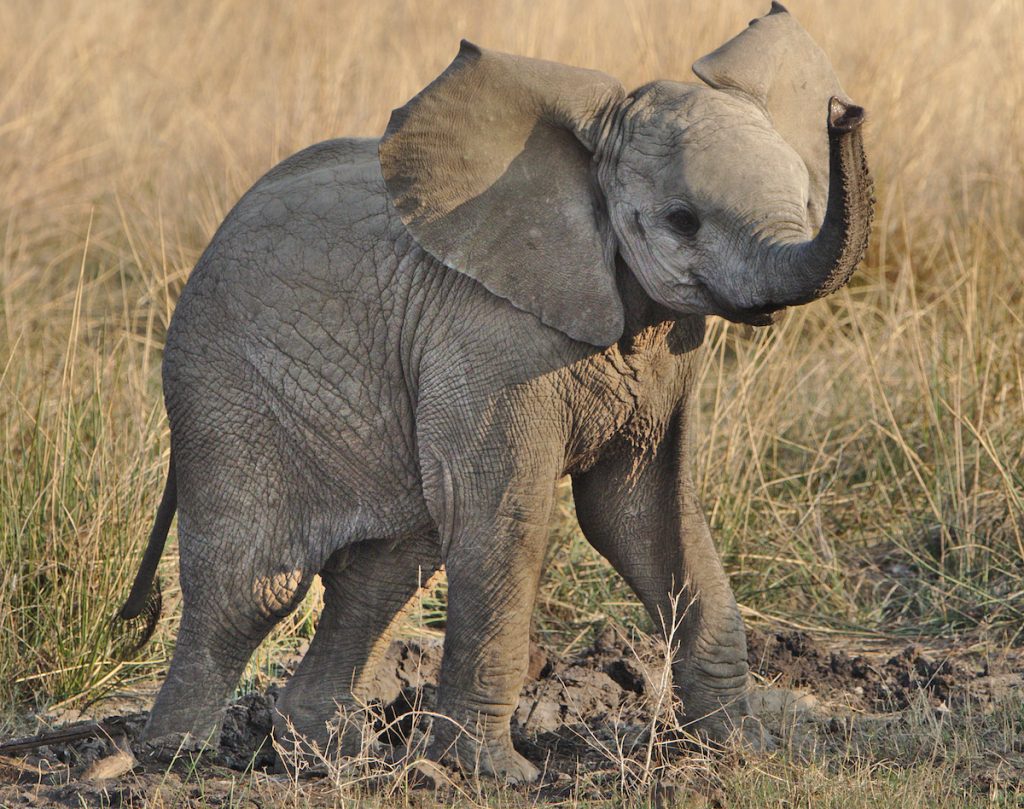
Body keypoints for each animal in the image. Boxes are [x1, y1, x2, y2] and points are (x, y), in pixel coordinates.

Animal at [119, 0, 872, 786]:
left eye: (806, 197)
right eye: (681, 219)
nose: (847, 112)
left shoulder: (667, 349)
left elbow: (643, 511)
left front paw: (743, 749)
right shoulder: (486, 336)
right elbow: (506, 514)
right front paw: (497, 775)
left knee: (387, 565)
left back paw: (327, 753)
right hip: (228, 388)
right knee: (255, 583)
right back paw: (176, 759)